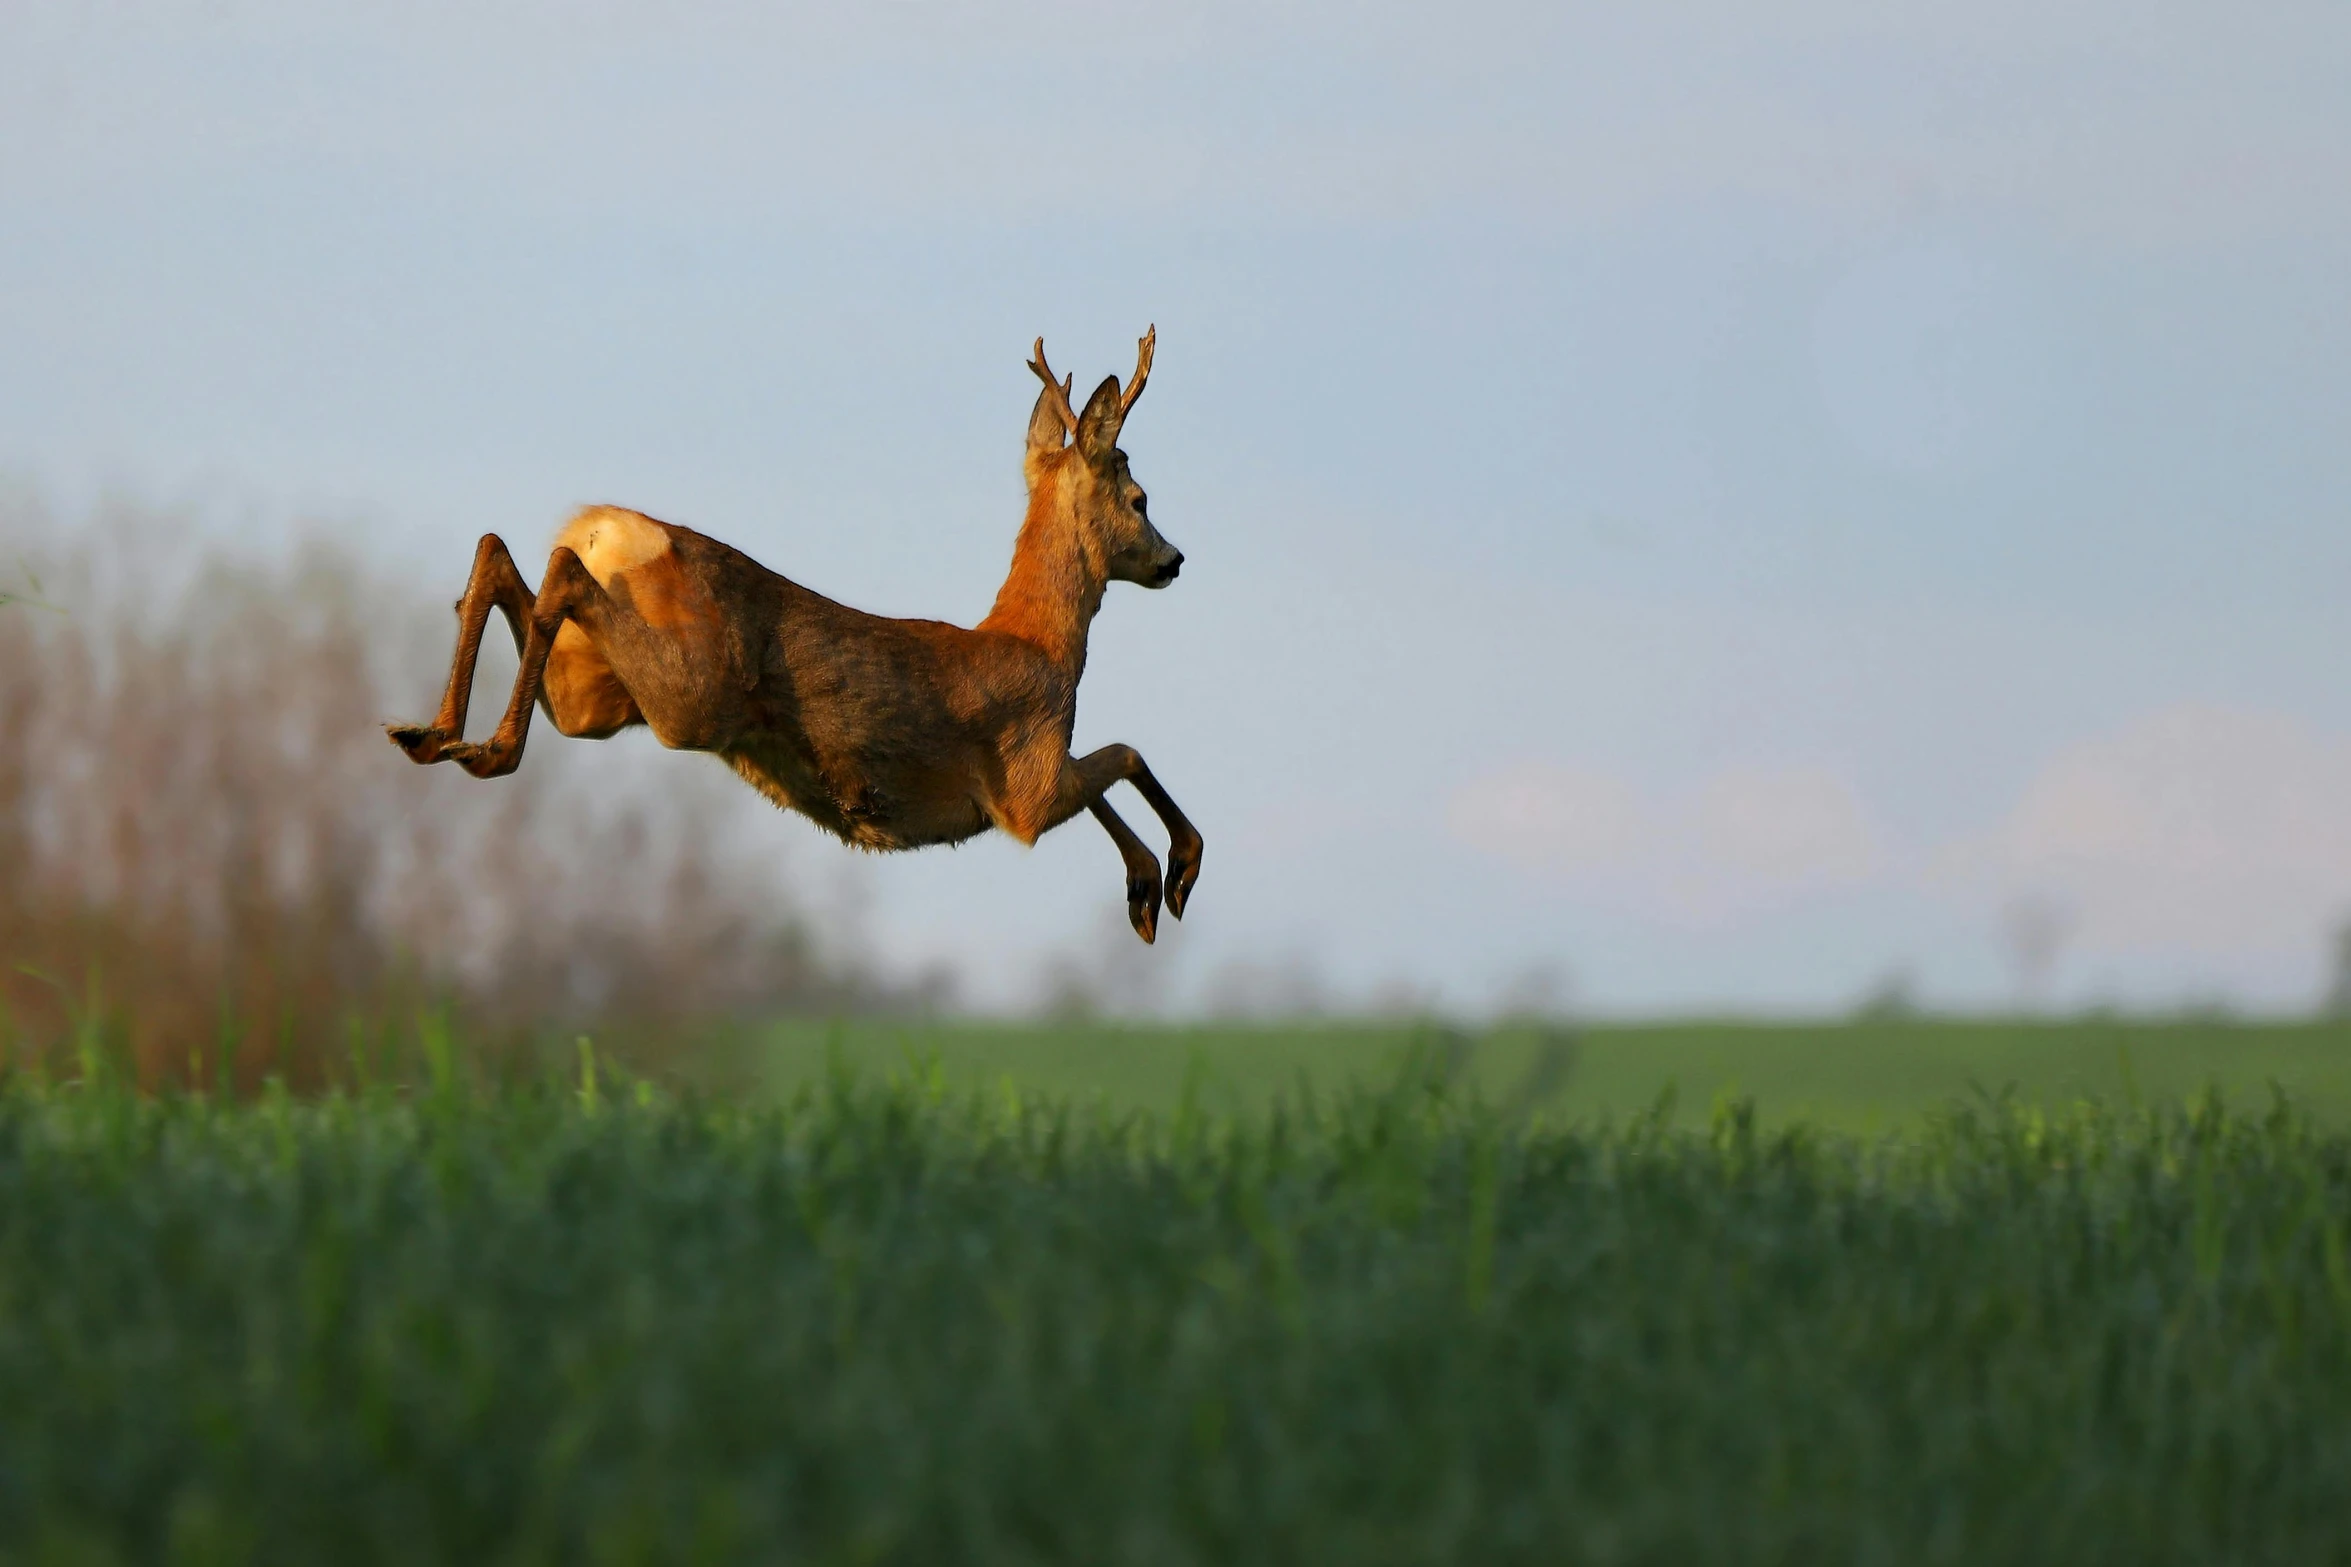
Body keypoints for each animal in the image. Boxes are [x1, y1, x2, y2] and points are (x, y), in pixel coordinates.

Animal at [387, 331, 1203, 944]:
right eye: (1140, 499)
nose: (1173, 560)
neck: (1040, 643)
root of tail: (609, 529)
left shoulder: (1039, 778)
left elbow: (1113, 764)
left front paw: (1144, 887)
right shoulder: (1026, 788)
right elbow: (1125, 752)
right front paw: (1173, 874)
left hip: (597, 697)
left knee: (501, 551)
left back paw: (432, 734)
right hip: (689, 695)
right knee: (556, 571)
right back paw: (485, 747)